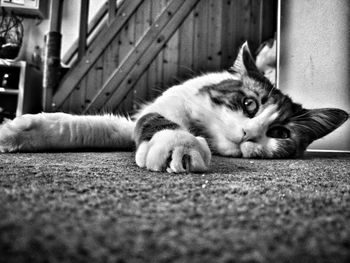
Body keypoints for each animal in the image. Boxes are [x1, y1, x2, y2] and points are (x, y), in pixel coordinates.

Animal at [0, 42, 348, 174]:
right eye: (249, 103)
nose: (248, 134)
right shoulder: (151, 112)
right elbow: (77, 127)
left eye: (279, 133)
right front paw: (16, 132)